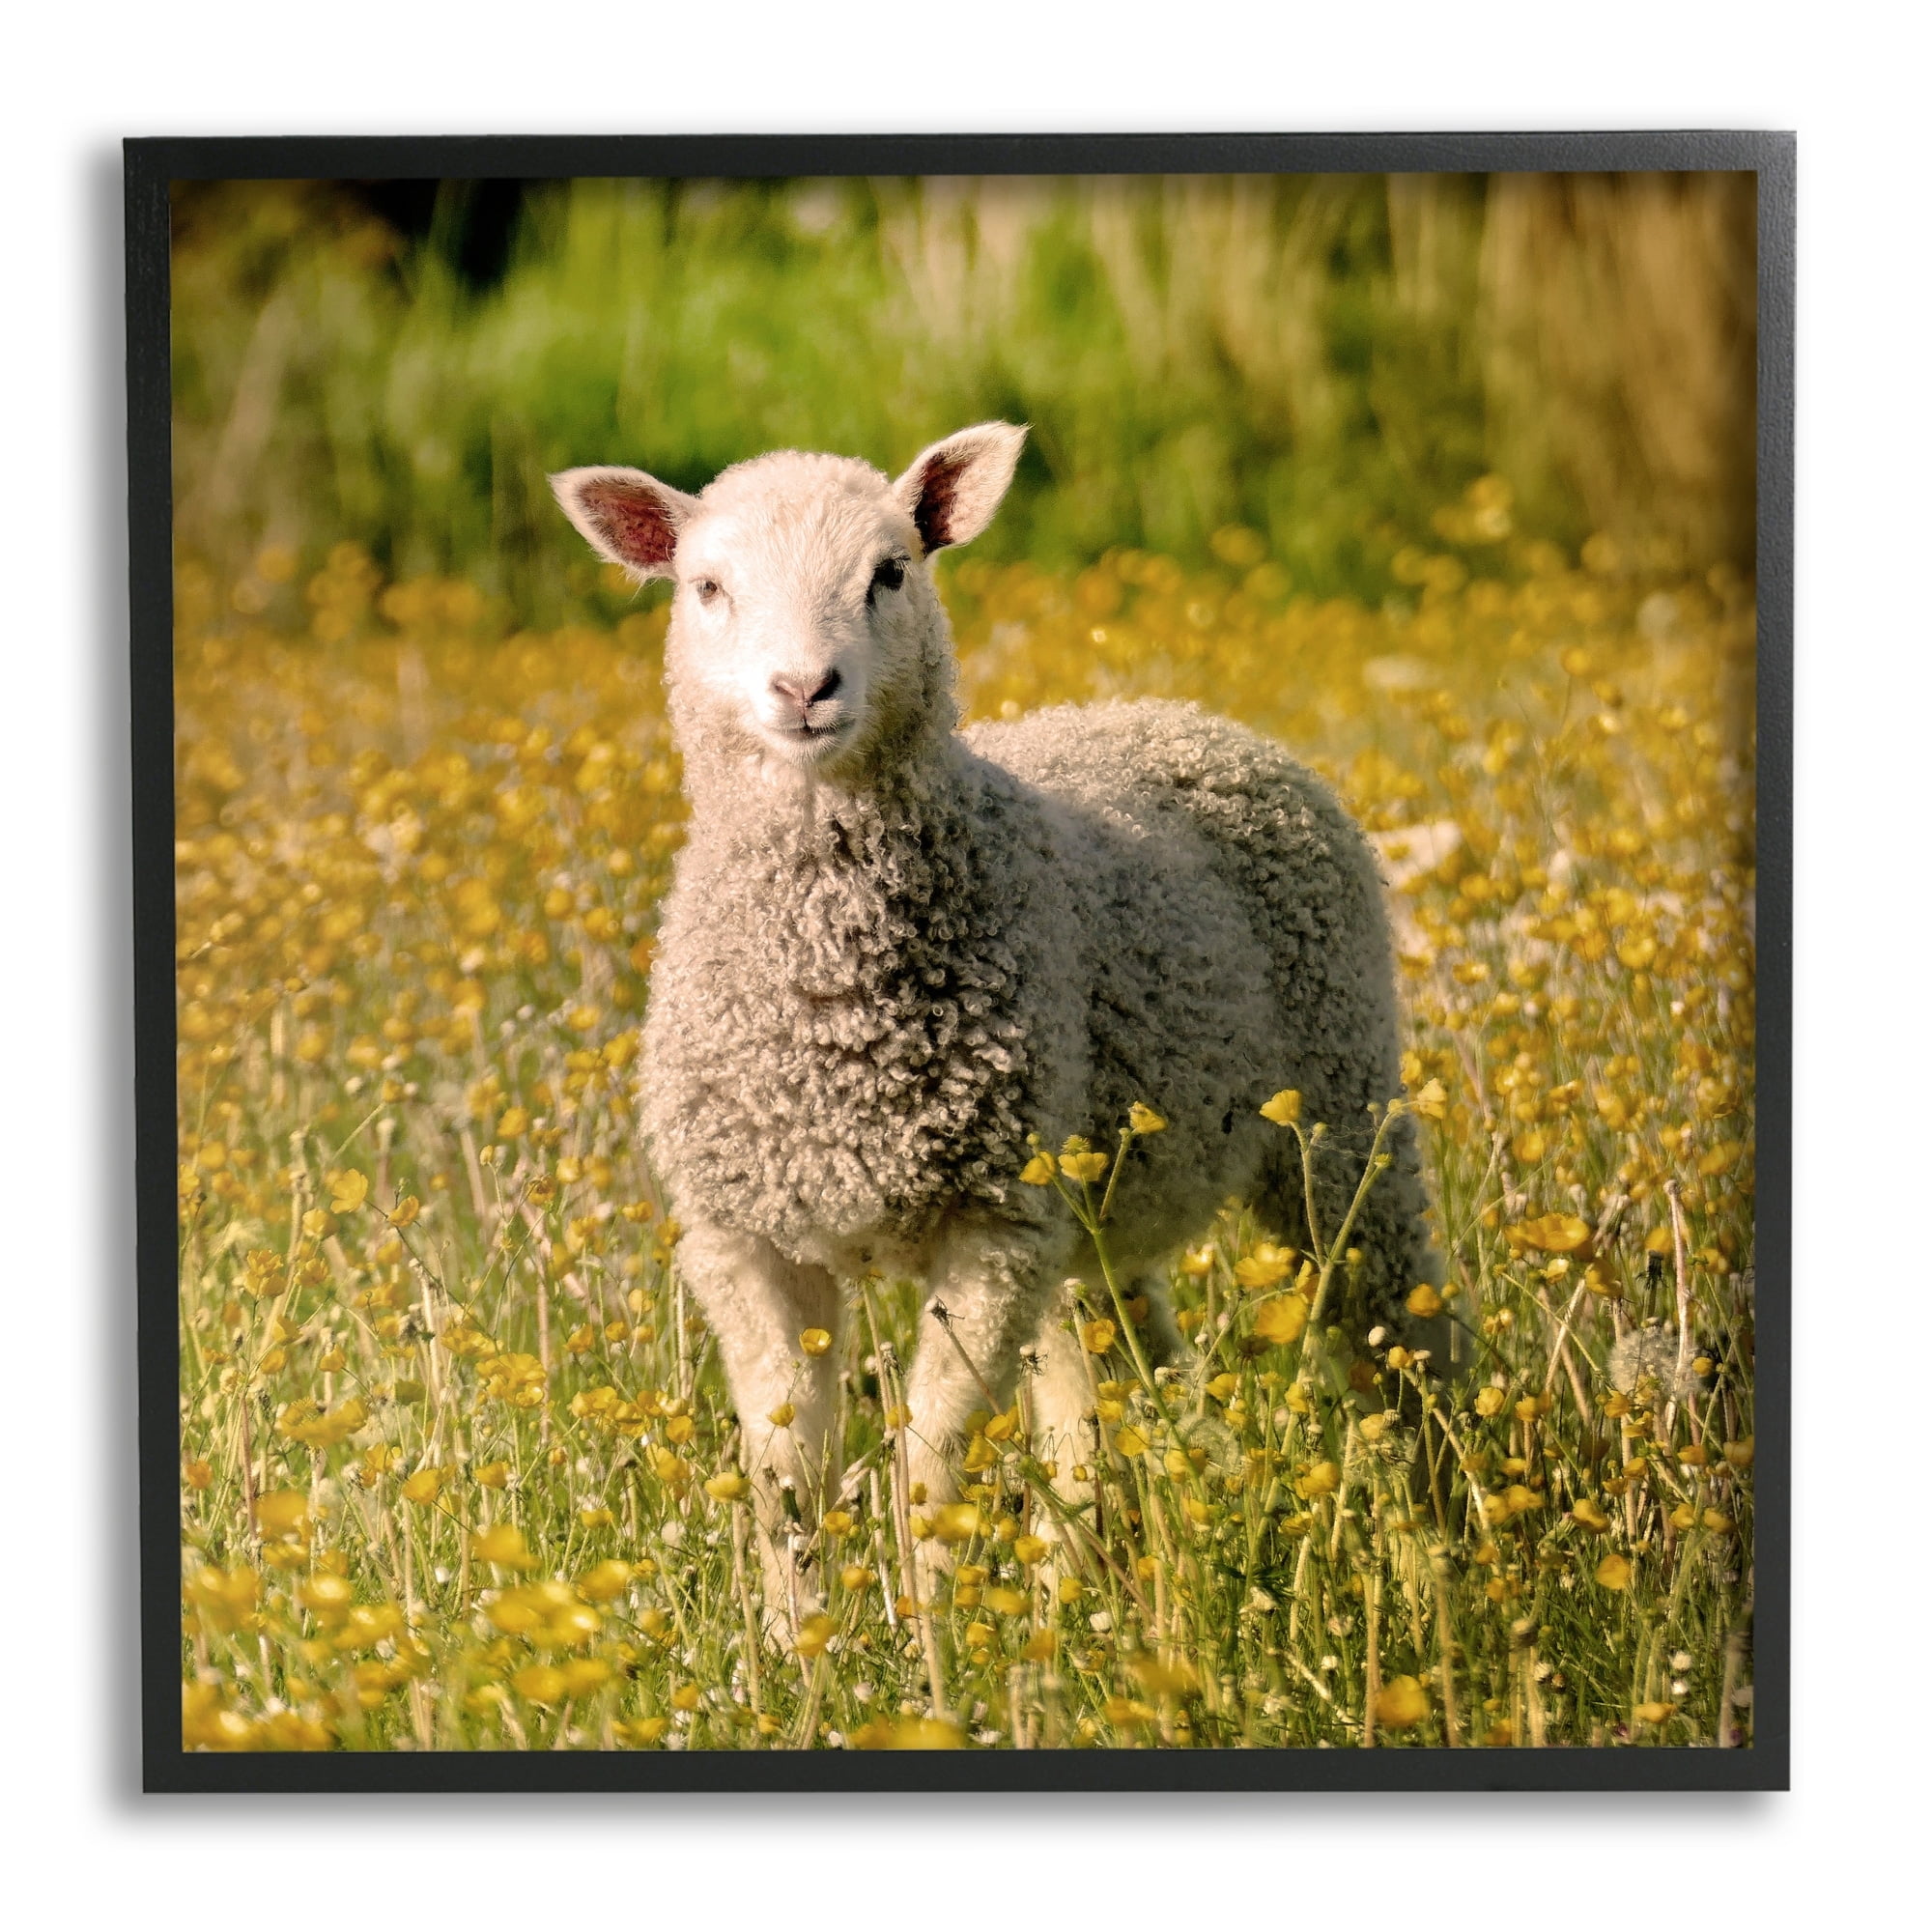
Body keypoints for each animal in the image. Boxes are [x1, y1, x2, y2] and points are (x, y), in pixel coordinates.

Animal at [552, 423, 1438, 1604]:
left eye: (890, 572)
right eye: (706, 586)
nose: (804, 687)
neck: (833, 1016)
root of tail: (1177, 713)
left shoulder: (989, 1227)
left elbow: (929, 1464)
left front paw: (933, 1629)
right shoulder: (746, 1237)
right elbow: (787, 1474)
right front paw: (798, 1637)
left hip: (1339, 1105)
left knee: (1399, 1331)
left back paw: (1446, 1542)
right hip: (1088, 1206)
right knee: (1108, 1386)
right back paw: (1110, 1585)